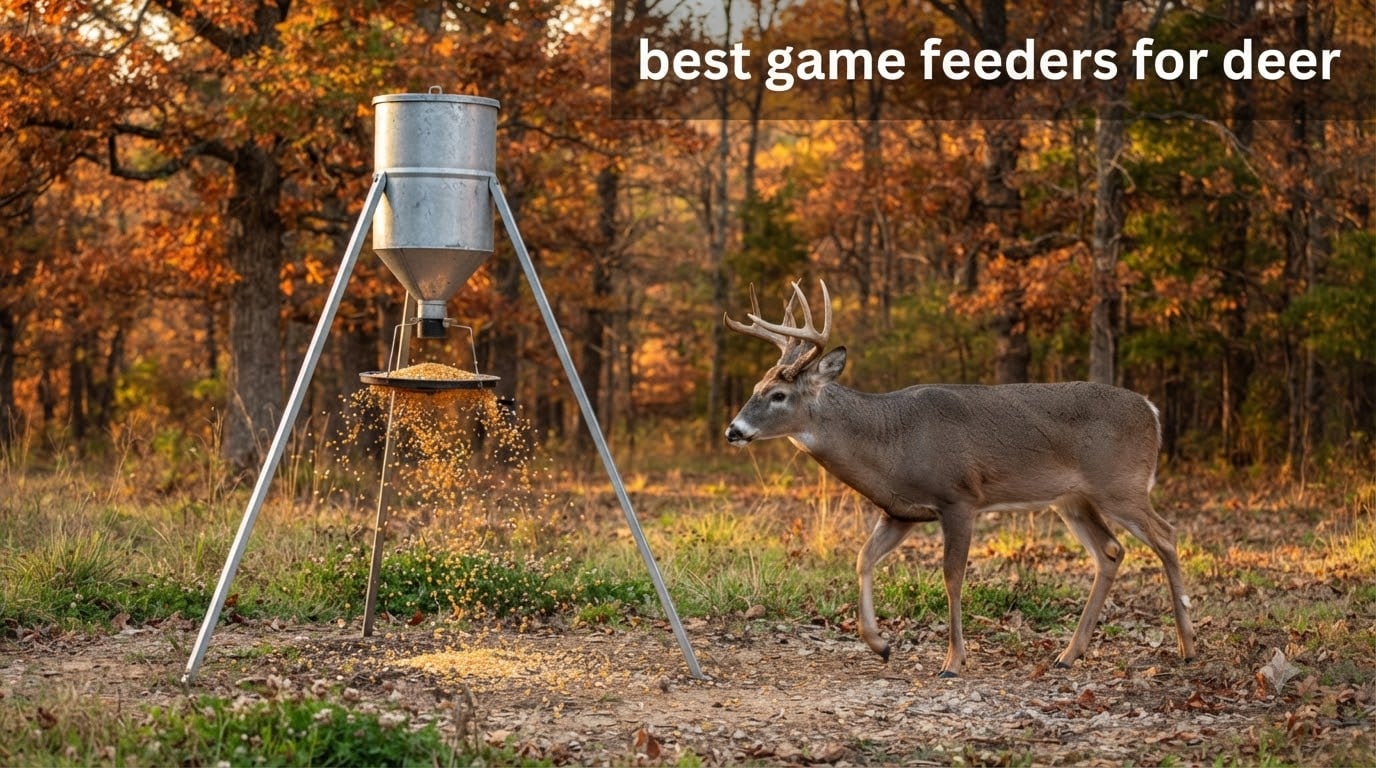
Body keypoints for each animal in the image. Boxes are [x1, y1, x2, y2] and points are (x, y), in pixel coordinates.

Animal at [724, 279, 1196, 678]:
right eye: (755, 387)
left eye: (778, 395)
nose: (734, 430)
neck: (891, 440)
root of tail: (1151, 410)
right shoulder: (901, 511)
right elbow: (863, 559)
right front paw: (880, 644)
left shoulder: (959, 498)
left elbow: (952, 576)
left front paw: (952, 661)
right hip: (1072, 499)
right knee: (1110, 551)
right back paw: (1068, 654)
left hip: (1121, 484)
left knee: (1167, 535)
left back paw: (1187, 646)